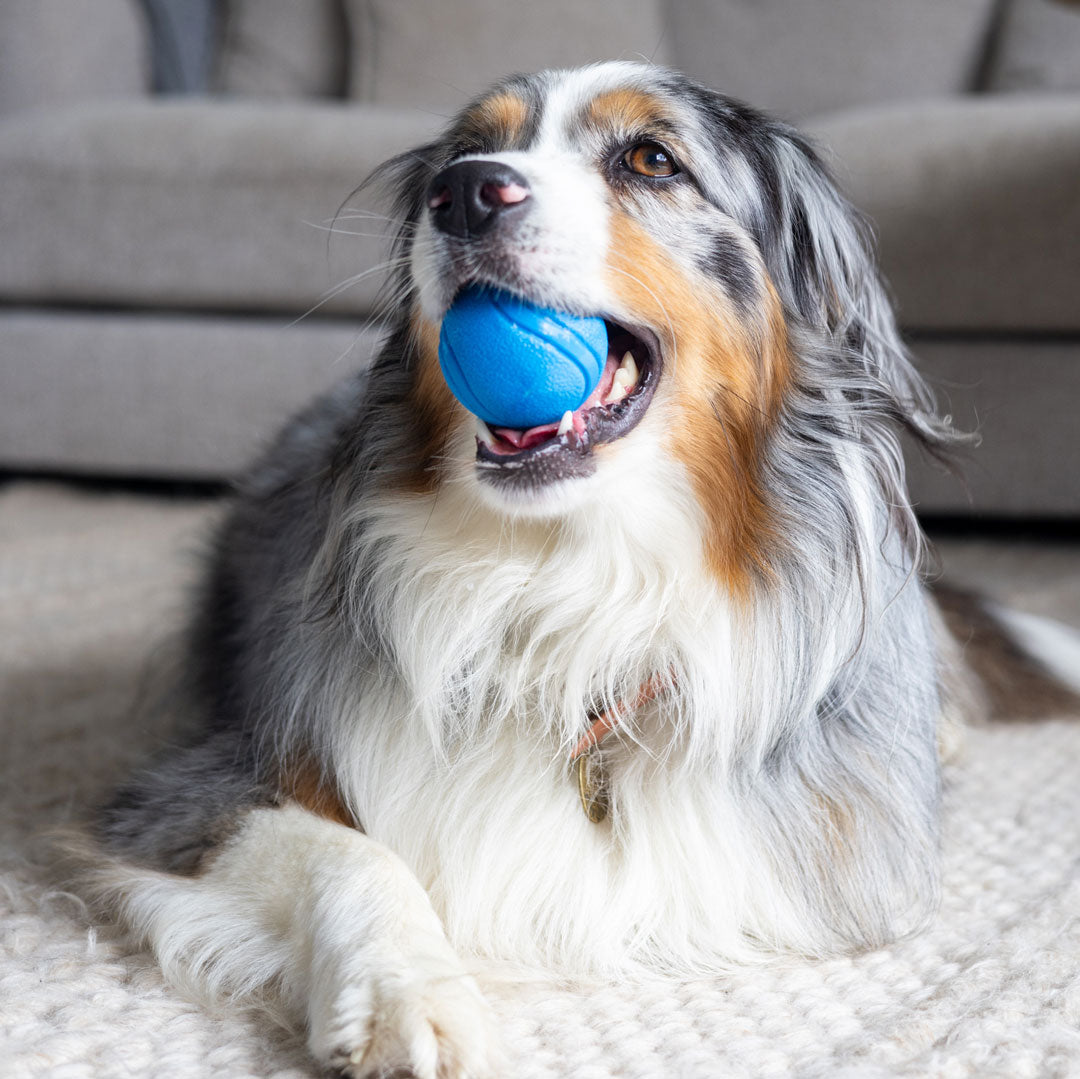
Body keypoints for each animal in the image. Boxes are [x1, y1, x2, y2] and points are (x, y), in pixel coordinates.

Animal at [86, 63, 1080, 1075]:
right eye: (463, 154)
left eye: (652, 159)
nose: (464, 192)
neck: (575, 580)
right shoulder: (203, 784)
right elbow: (350, 853)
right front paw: (411, 995)